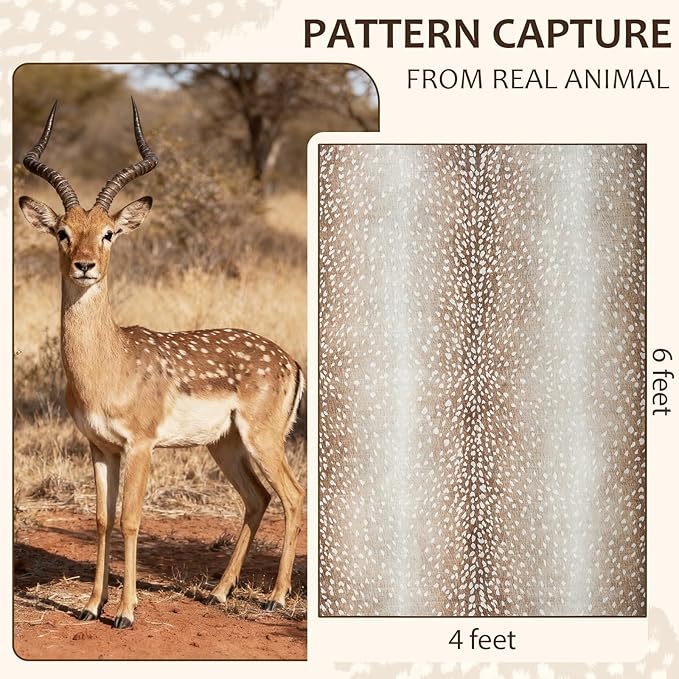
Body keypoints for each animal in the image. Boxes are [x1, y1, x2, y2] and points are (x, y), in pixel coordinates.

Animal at [19, 100, 305, 629]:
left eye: (109, 233)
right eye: (63, 232)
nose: (85, 265)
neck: (110, 365)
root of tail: (289, 360)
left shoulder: (141, 445)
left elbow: (130, 519)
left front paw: (126, 613)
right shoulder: (99, 447)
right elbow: (101, 519)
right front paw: (90, 606)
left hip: (262, 439)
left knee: (292, 496)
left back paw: (275, 599)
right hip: (225, 445)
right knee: (258, 498)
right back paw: (218, 593)